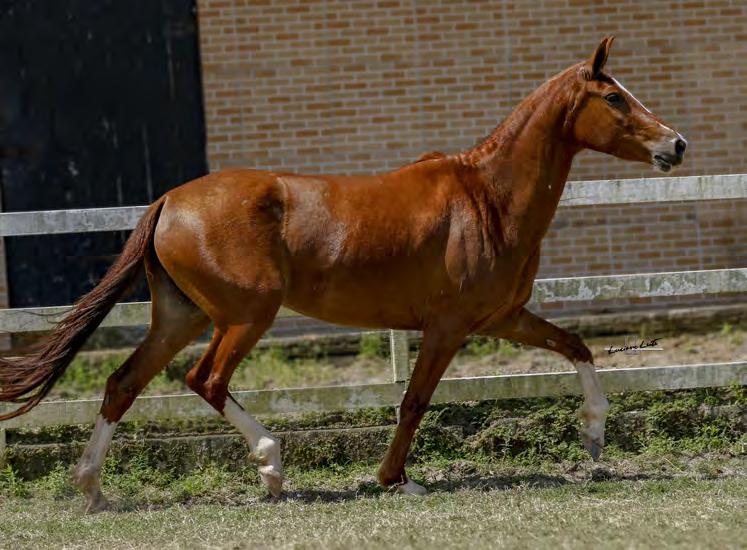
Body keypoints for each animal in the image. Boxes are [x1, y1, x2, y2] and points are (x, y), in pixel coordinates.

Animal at [0, 37, 688, 512]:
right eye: (614, 97)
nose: (676, 145)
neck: (488, 199)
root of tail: (169, 200)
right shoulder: (448, 326)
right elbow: (414, 401)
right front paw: (395, 480)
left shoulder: (503, 318)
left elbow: (578, 347)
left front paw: (594, 439)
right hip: (245, 316)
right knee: (206, 380)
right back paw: (272, 468)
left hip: (180, 315)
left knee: (123, 384)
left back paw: (92, 490)